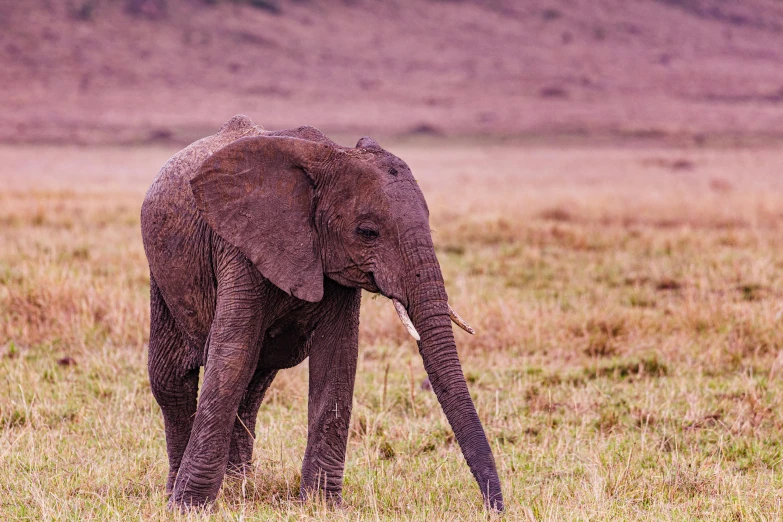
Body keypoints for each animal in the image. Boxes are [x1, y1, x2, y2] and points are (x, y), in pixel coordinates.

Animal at [141, 115, 506, 512]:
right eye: (367, 232)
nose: (495, 507)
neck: (330, 155)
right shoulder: (240, 247)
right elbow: (232, 355)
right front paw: (188, 507)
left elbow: (337, 358)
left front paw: (322, 504)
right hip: (162, 273)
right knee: (172, 380)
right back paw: (181, 488)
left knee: (254, 384)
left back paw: (240, 486)